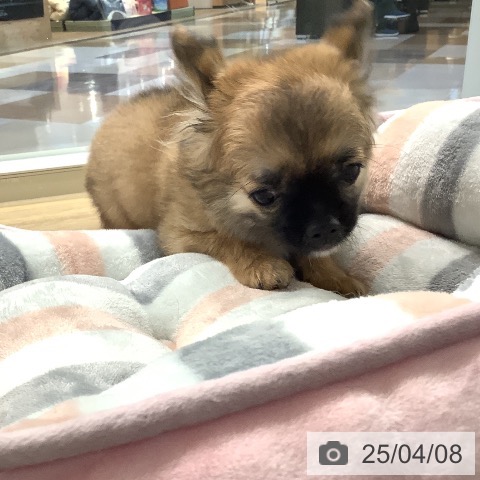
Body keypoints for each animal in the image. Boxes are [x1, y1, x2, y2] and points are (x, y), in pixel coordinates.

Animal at [85, 0, 375, 296]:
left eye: (352, 171)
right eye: (264, 196)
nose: (325, 228)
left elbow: (315, 254)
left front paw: (335, 277)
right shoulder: (180, 236)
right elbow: (226, 239)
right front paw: (262, 264)